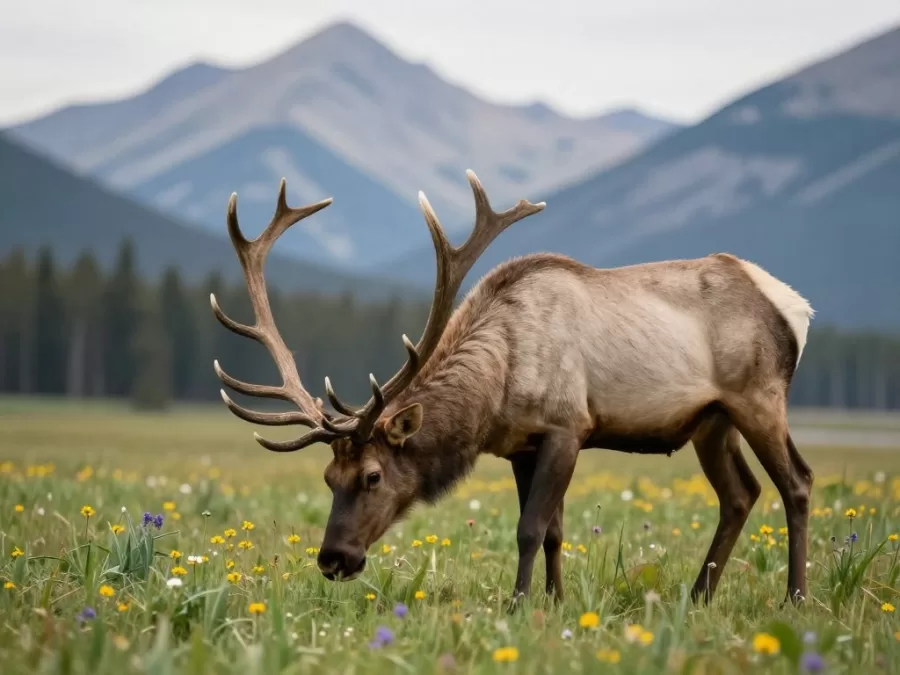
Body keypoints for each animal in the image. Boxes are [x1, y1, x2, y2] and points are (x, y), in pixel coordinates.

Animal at [210, 169, 815, 607]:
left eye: (373, 475)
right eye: (328, 477)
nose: (333, 558)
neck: (493, 396)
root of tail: (796, 307)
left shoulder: (568, 426)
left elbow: (529, 528)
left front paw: (520, 604)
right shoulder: (521, 445)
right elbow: (552, 532)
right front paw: (556, 601)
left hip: (759, 396)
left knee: (797, 483)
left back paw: (795, 598)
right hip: (711, 421)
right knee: (740, 494)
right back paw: (698, 597)